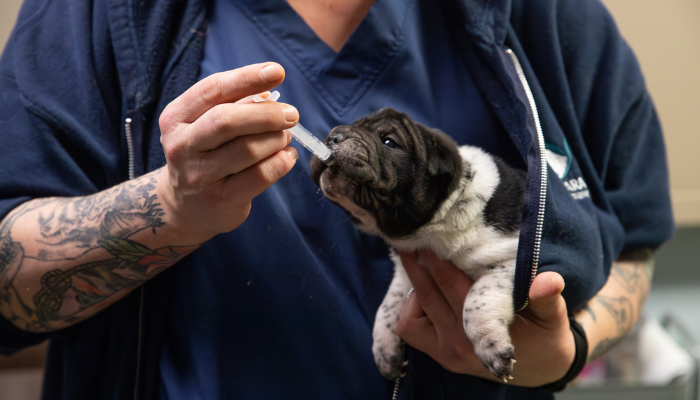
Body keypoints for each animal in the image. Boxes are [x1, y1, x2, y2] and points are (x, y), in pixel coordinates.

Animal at [310, 108, 524, 382]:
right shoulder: (405, 273)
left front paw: (491, 346)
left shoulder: (512, 259)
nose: (333, 136)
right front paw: (384, 350)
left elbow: (477, 301)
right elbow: (388, 306)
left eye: (389, 142)